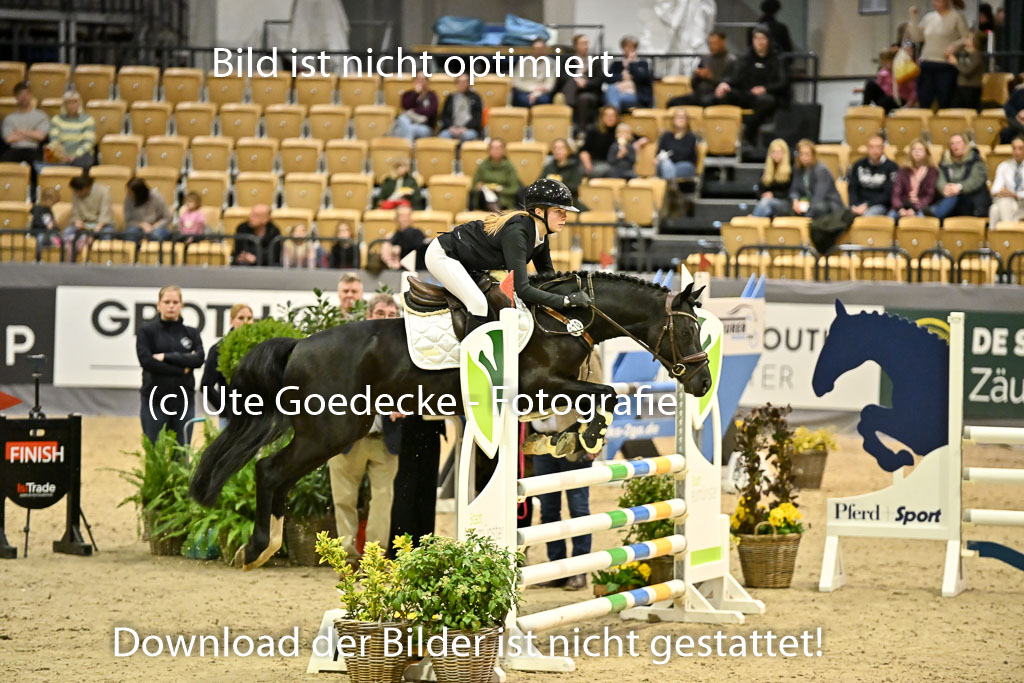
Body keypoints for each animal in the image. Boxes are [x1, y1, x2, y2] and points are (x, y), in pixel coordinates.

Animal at [189, 272, 713, 570]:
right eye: (686, 330)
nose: (704, 381)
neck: (561, 318)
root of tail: (298, 344)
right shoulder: (533, 386)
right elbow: (603, 395)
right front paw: (585, 434)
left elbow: (588, 401)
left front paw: (562, 441)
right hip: (330, 431)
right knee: (269, 470)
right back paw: (259, 547)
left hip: (336, 430)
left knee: (275, 474)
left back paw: (267, 544)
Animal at [812, 300, 949, 472]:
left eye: (837, 340)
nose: (816, 384)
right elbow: (867, 414)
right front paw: (895, 459)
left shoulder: (920, 434)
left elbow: (868, 417)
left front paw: (894, 459)